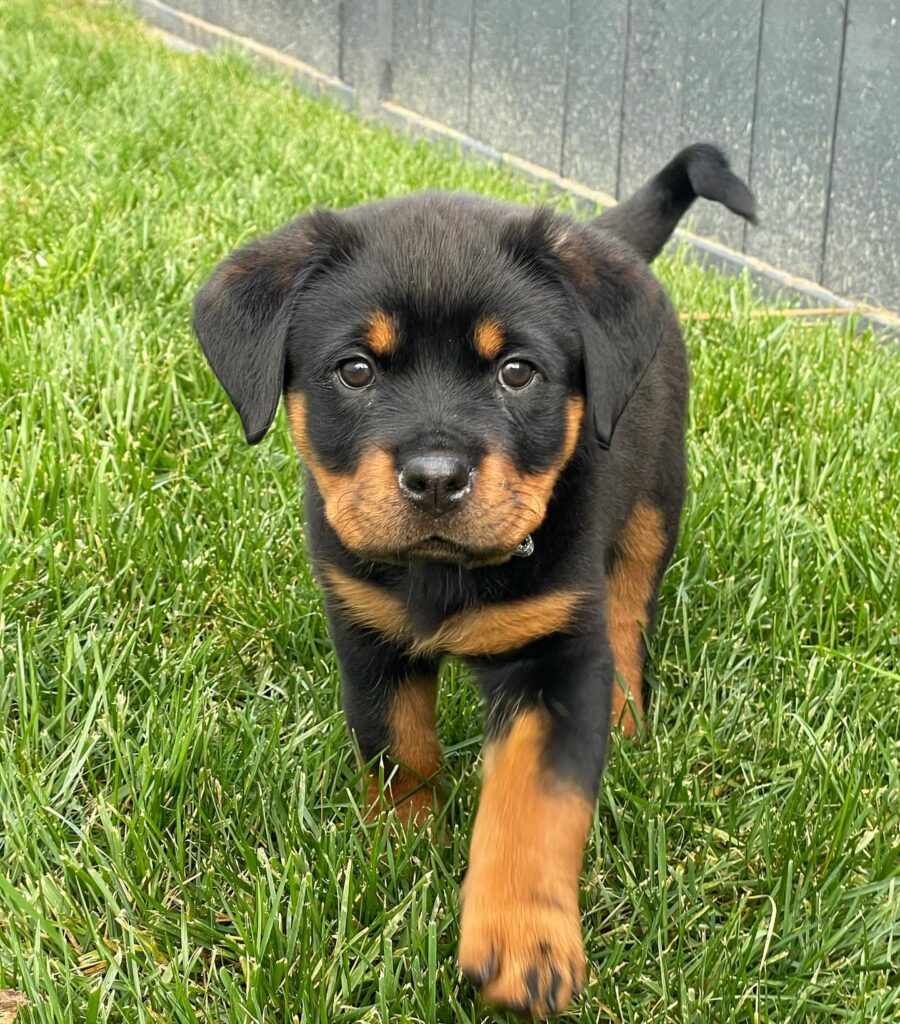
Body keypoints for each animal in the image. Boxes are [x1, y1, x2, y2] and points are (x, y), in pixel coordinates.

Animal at [195, 144, 753, 1015]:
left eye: (516, 372)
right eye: (355, 370)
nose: (434, 478)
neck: (444, 575)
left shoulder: (557, 655)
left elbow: (533, 803)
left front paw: (525, 943)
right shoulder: (365, 632)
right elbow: (398, 745)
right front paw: (401, 843)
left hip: (657, 497)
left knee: (632, 609)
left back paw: (628, 713)